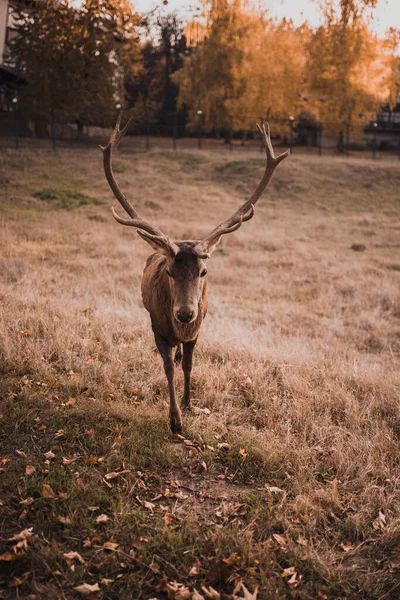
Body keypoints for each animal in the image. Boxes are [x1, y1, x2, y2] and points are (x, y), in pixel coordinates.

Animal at [99, 113, 288, 432]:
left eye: (203, 271)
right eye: (170, 272)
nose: (186, 313)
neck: (180, 330)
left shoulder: (198, 331)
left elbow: (188, 365)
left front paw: (190, 405)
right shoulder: (157, 327)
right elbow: (168, 368)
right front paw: (175, 420)